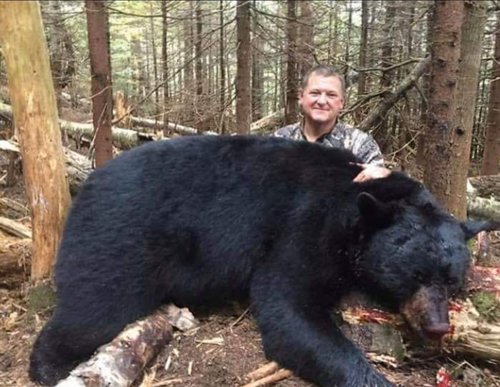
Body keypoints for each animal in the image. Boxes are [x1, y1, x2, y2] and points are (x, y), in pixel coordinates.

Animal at [30, 135, 496, 386]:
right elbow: (290, 308)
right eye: (412, 274)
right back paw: (49, 365)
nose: (437, 326)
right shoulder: (304, 228)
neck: (356, 210)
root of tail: (89, 182)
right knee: (93, 309)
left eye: (451, 279)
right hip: (121, 239)